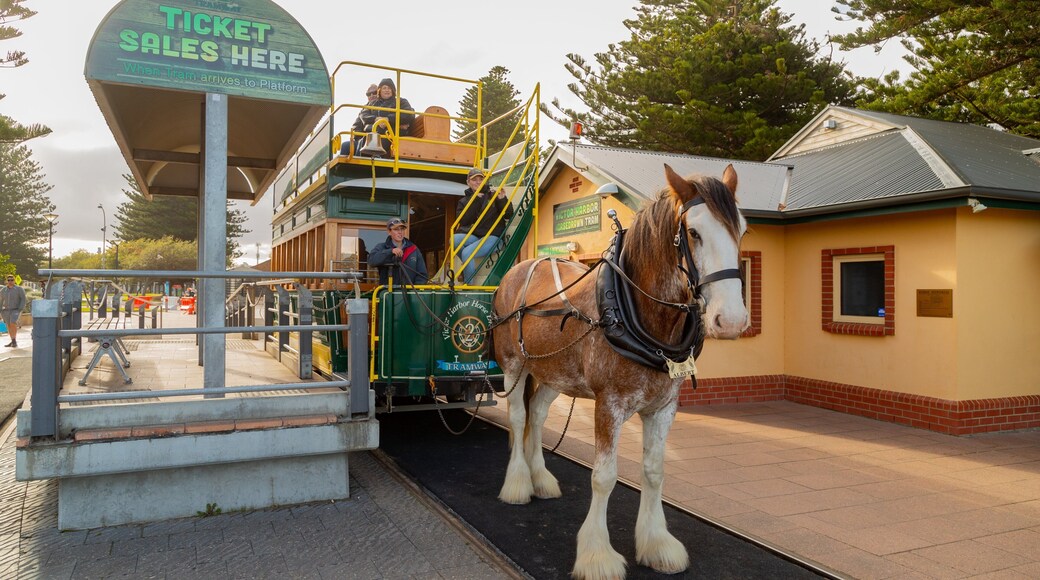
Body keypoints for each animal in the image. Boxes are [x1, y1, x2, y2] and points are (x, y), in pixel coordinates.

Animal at [491, 164, 748, 579]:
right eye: (693, 233)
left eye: (742, 230)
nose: (733, 320)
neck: (640, 317)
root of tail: (526, 265)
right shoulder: (607, 405)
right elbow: (604, 477)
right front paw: (596, 555)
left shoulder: (663, 408)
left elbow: (655, 471)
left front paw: (657, 542)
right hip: (514, 364)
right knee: (517, 417)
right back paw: (517, 483)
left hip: (553, 373)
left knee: (538, 415)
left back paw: (539, 477)